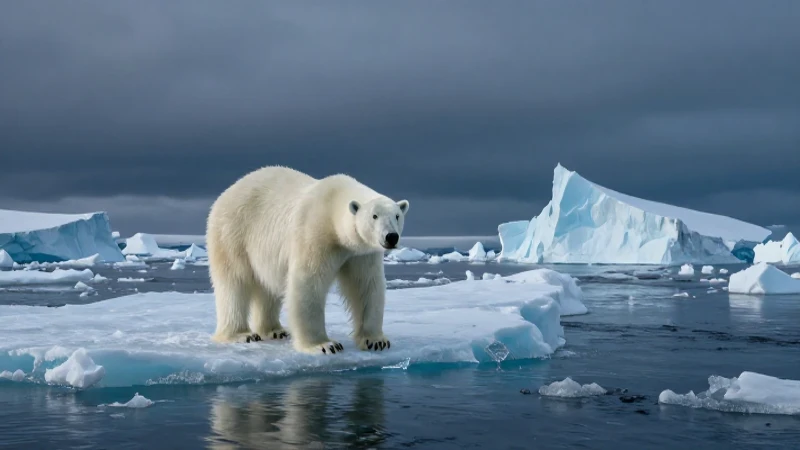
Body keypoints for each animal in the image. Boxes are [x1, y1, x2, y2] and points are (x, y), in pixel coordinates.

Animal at [205, 166, 409, 355]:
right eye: (374, 216)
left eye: (397, 216)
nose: (391, 237)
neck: (333, 208)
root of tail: (228, 191)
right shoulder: (314, 234)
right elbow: (308, 284)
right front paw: (324, 345)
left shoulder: (361, 253)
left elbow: (365, 286)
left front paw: (376, 341)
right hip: (233, 232)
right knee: (234, 282)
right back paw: (241, 334)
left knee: (268, 288)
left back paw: (274, 330)